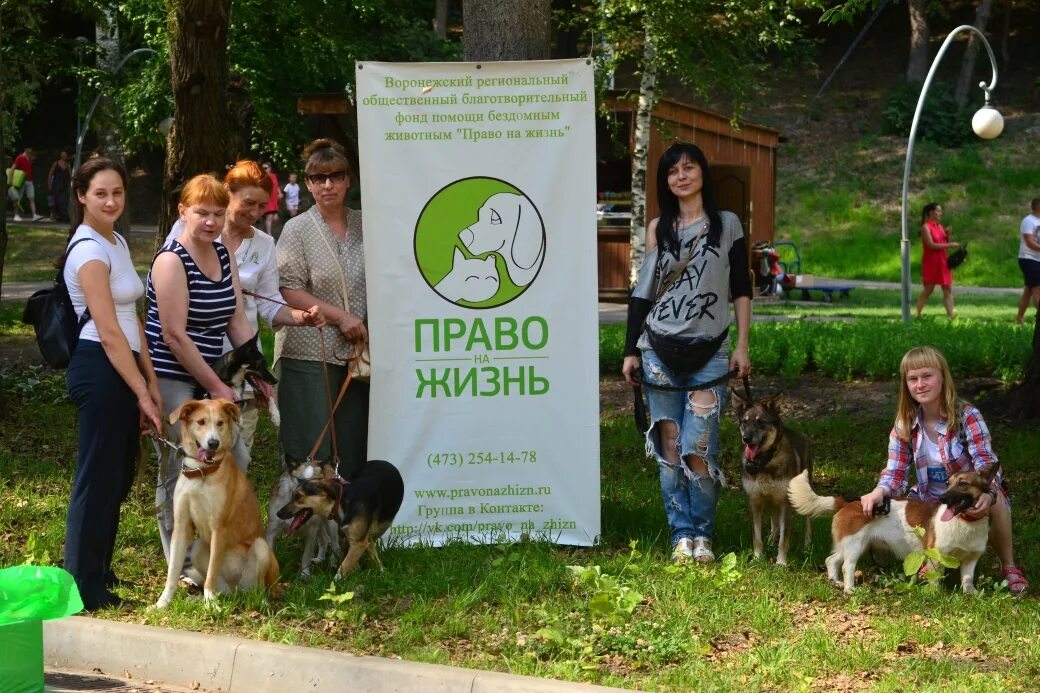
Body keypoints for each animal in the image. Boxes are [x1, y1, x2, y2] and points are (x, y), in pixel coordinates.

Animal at [151, 397, 278, 607]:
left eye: (220, 423)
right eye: (201, 422)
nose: (213, 443)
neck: (201, 473)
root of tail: (237, 592)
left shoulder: (219, 529)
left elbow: (211, 571)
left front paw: (210, 605)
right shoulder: (182, 527)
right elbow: (172, 573)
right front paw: (162, 603)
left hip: (260, 548)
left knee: (259, 589)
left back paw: (260, 602)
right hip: (198, 547)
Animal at [274, 457, 403, 578]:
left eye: (298, 496)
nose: (278, 513)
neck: (342, 503)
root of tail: (384, 462)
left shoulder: (358, 542)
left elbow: (343, 568)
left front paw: (335, 583)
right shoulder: (353, 538)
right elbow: (349, 559)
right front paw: (354, 570)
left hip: (381, 526)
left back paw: (380, 570)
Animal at [732, 385, 811, 566]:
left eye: (761, 422)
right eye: (744, 422)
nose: (746, 439)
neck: (764, 462)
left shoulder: (785, 503)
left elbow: (784, 539)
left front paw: (781, 563)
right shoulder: (754, 501)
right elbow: (756, 537)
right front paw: (757, 558)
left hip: (800, 496)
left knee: (807, 522)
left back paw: (807, 546)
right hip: (771, 501)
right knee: (774, 522)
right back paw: (770, 540)